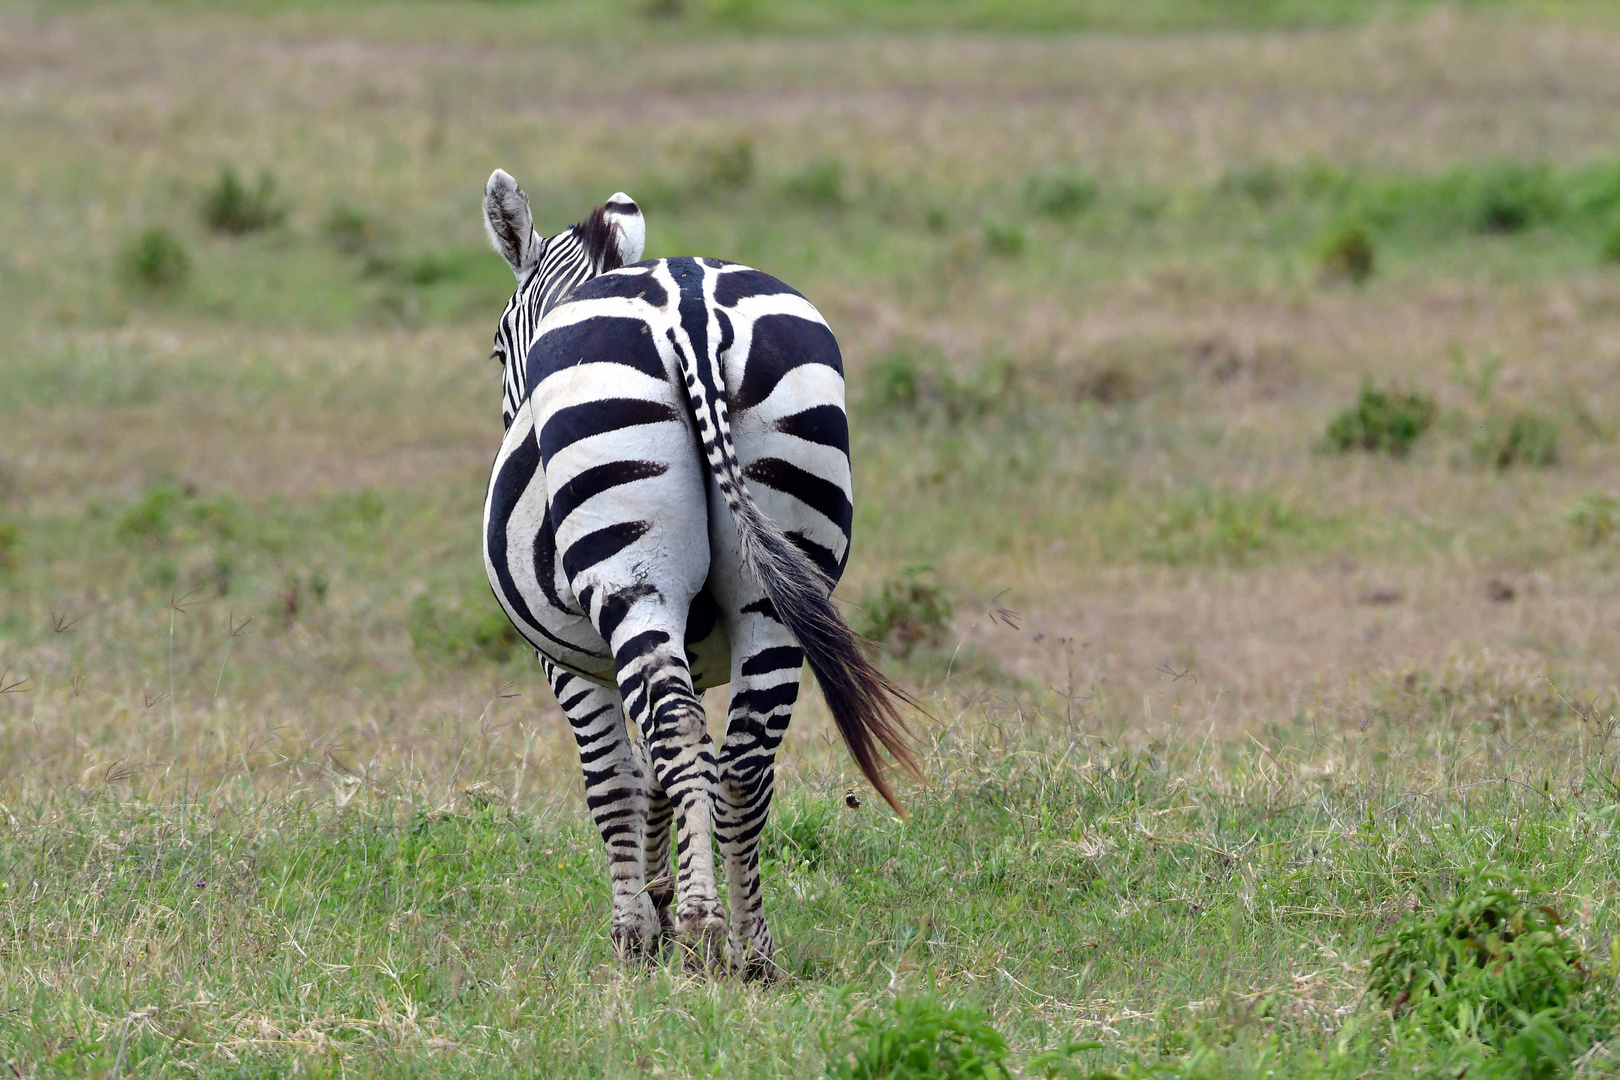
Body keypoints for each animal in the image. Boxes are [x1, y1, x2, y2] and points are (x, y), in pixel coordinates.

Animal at [473, 170, 920, 977]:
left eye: (497, 350)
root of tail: (691, 309)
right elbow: (663, 770)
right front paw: (659, 895)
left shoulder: (567, 660)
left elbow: (615, 777)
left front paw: (635, 929)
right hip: (775, 584)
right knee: (742, 759)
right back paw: (750, 948)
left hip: (630, 579)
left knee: (680, 734)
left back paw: (704, 929)